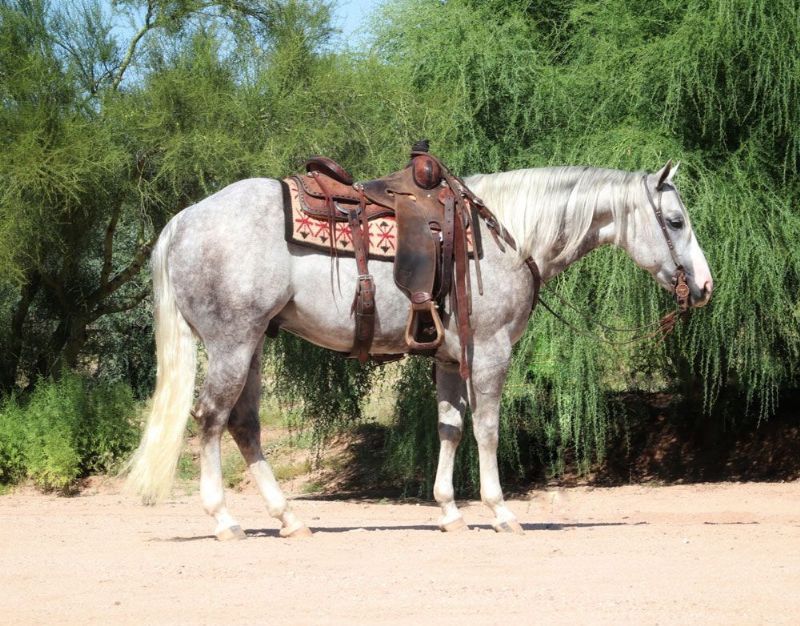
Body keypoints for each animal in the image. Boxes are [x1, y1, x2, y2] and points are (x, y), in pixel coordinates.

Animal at [125, 159, 713, 539]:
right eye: (676, 221)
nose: (705, 286)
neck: (506, 235)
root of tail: (183, 221)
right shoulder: (490, 352)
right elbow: (487, 429)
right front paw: (501, 512)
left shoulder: (450, 359)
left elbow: (449, 428)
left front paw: (450, 511)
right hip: (231, 342)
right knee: (211, 418)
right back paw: (225, 520)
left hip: (253, 346)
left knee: (244, 425)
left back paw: (289, 519)